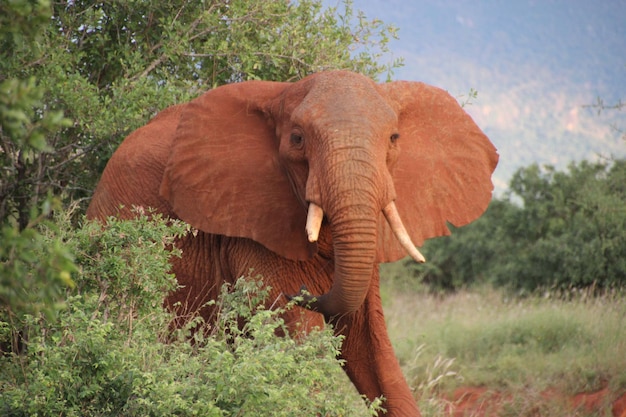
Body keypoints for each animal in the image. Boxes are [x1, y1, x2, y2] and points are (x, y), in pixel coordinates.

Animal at [86, 70, 498, 414]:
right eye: (297, 140)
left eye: (394, 139)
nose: (303, 291)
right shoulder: (248, 222)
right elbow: (294, 330)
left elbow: (369, 341)